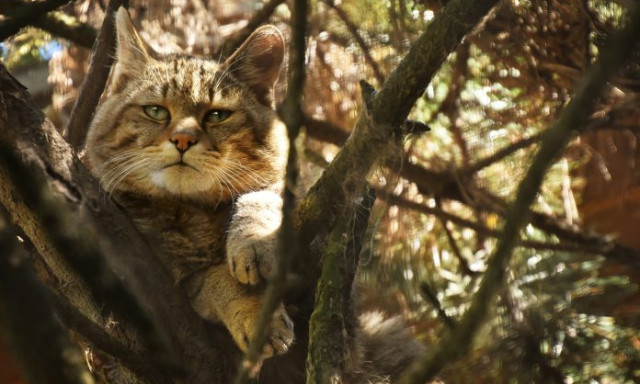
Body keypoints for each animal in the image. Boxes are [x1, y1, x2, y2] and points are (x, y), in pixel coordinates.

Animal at [85, 8, 296, 356]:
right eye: (156, 111)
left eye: (217, 115)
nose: (182, 139)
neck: (194, 211)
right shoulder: (171, 280)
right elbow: (217, 279)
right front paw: (256, 316)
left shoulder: (278, 183)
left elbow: (262, 197)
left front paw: (255, 239)